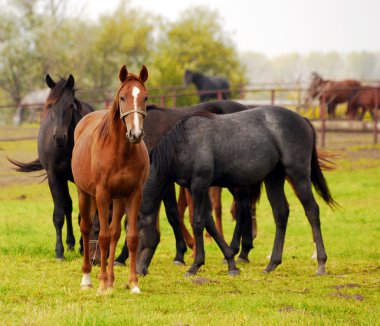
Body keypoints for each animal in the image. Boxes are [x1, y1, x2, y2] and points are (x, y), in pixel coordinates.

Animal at [8, 74, 93, 260]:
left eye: (70, 105)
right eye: (50, 105)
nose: (59, 137)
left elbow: (83, 214)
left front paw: (83, 248)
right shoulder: (55, 176)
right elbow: (59, 214)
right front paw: (59, 252)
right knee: (67, 206)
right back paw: (70, 243)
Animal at [72, 65, 149, 294]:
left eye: (145, 97)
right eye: (122, 97)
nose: (136, 134)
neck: (120, 152)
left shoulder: (134, 194)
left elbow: (131, 237)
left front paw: (134, 284)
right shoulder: (102, 194)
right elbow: (103, 238)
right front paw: (101, 284)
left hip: (119, 199)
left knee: (115, 232)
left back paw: (112, 280)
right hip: (85, 194)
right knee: (87, 228)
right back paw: (88, 278)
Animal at [136, 105, 336, 276]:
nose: (138, 270)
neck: (184, 144)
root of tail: (302, 119)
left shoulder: (200, 184)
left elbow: (198, 222)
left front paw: (195, 266)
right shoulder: (195, 188)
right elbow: (209, 222)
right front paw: (231, 262)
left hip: (298, 174)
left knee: (312, 211)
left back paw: (321, 263)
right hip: (274, 178)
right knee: (280, 213)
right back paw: (272, 264)